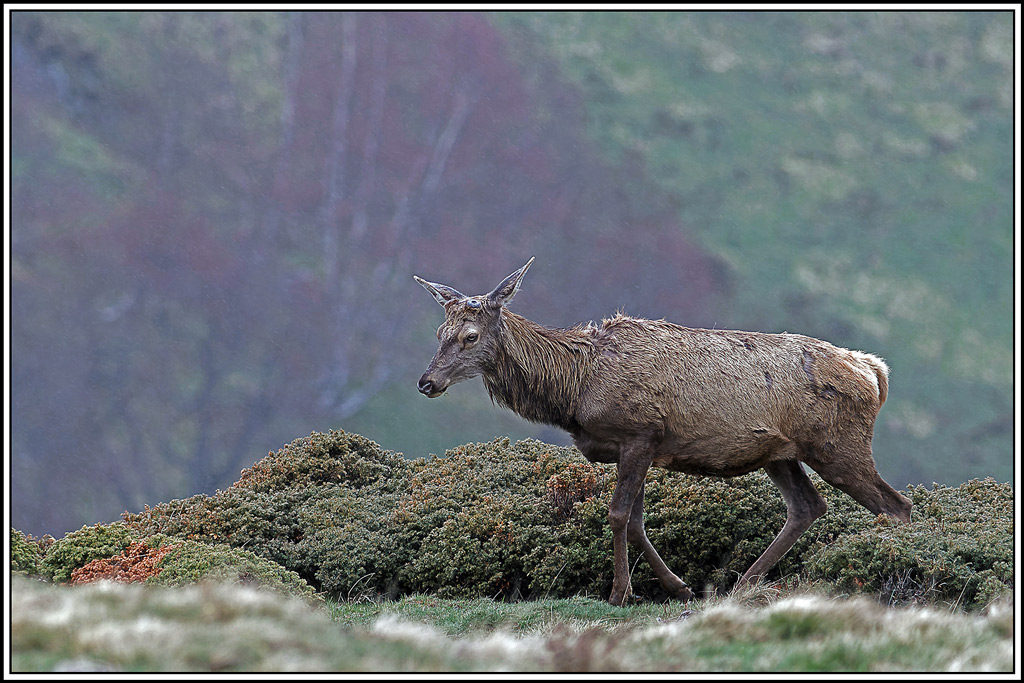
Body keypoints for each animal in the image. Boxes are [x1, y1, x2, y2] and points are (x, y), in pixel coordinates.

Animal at [414, 257, 912, 606]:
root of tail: (874, 370)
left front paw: (620, 593)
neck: (576, 390)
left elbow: (617, 515)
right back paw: (742, 587)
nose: (426, 382)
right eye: (438, 332)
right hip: (781, 454)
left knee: (896, 505)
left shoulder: (640, 432)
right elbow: (636, 522)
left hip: (837, 444)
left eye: (470, 336)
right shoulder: (639, 448)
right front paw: (680, 588)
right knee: (809, 507)